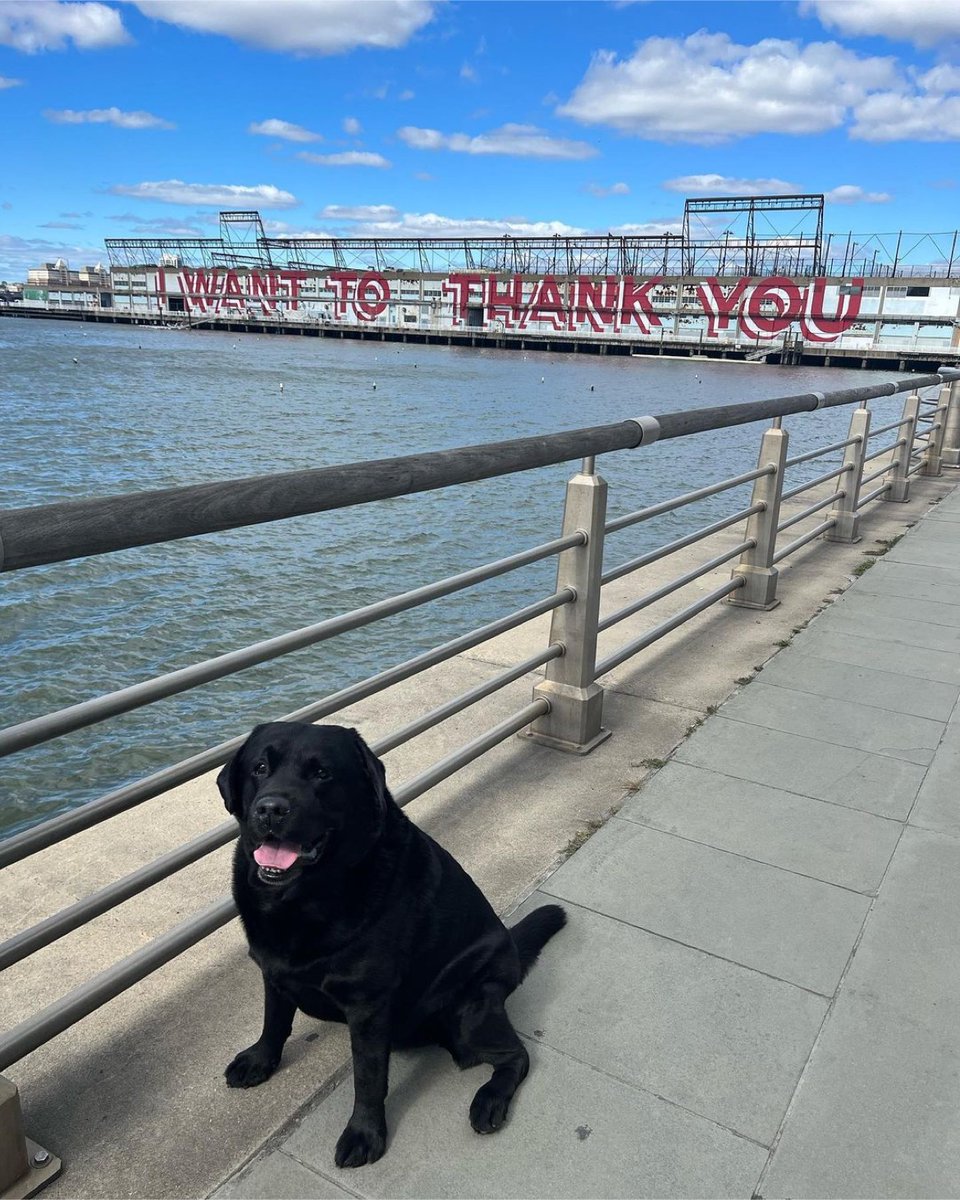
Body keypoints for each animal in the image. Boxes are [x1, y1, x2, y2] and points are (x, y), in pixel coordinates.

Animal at [217, 715, 566, 1166]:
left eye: (322, 773)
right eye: (260, 768)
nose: (271, 808)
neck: (303, 898)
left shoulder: (368, 1004)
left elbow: (368, 1077)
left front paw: (365, 1133)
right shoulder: (271, 969)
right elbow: (274, 1020)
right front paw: (260, 1060)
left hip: (469, 1010)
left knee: (517, 1055)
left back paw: (488, 1101)